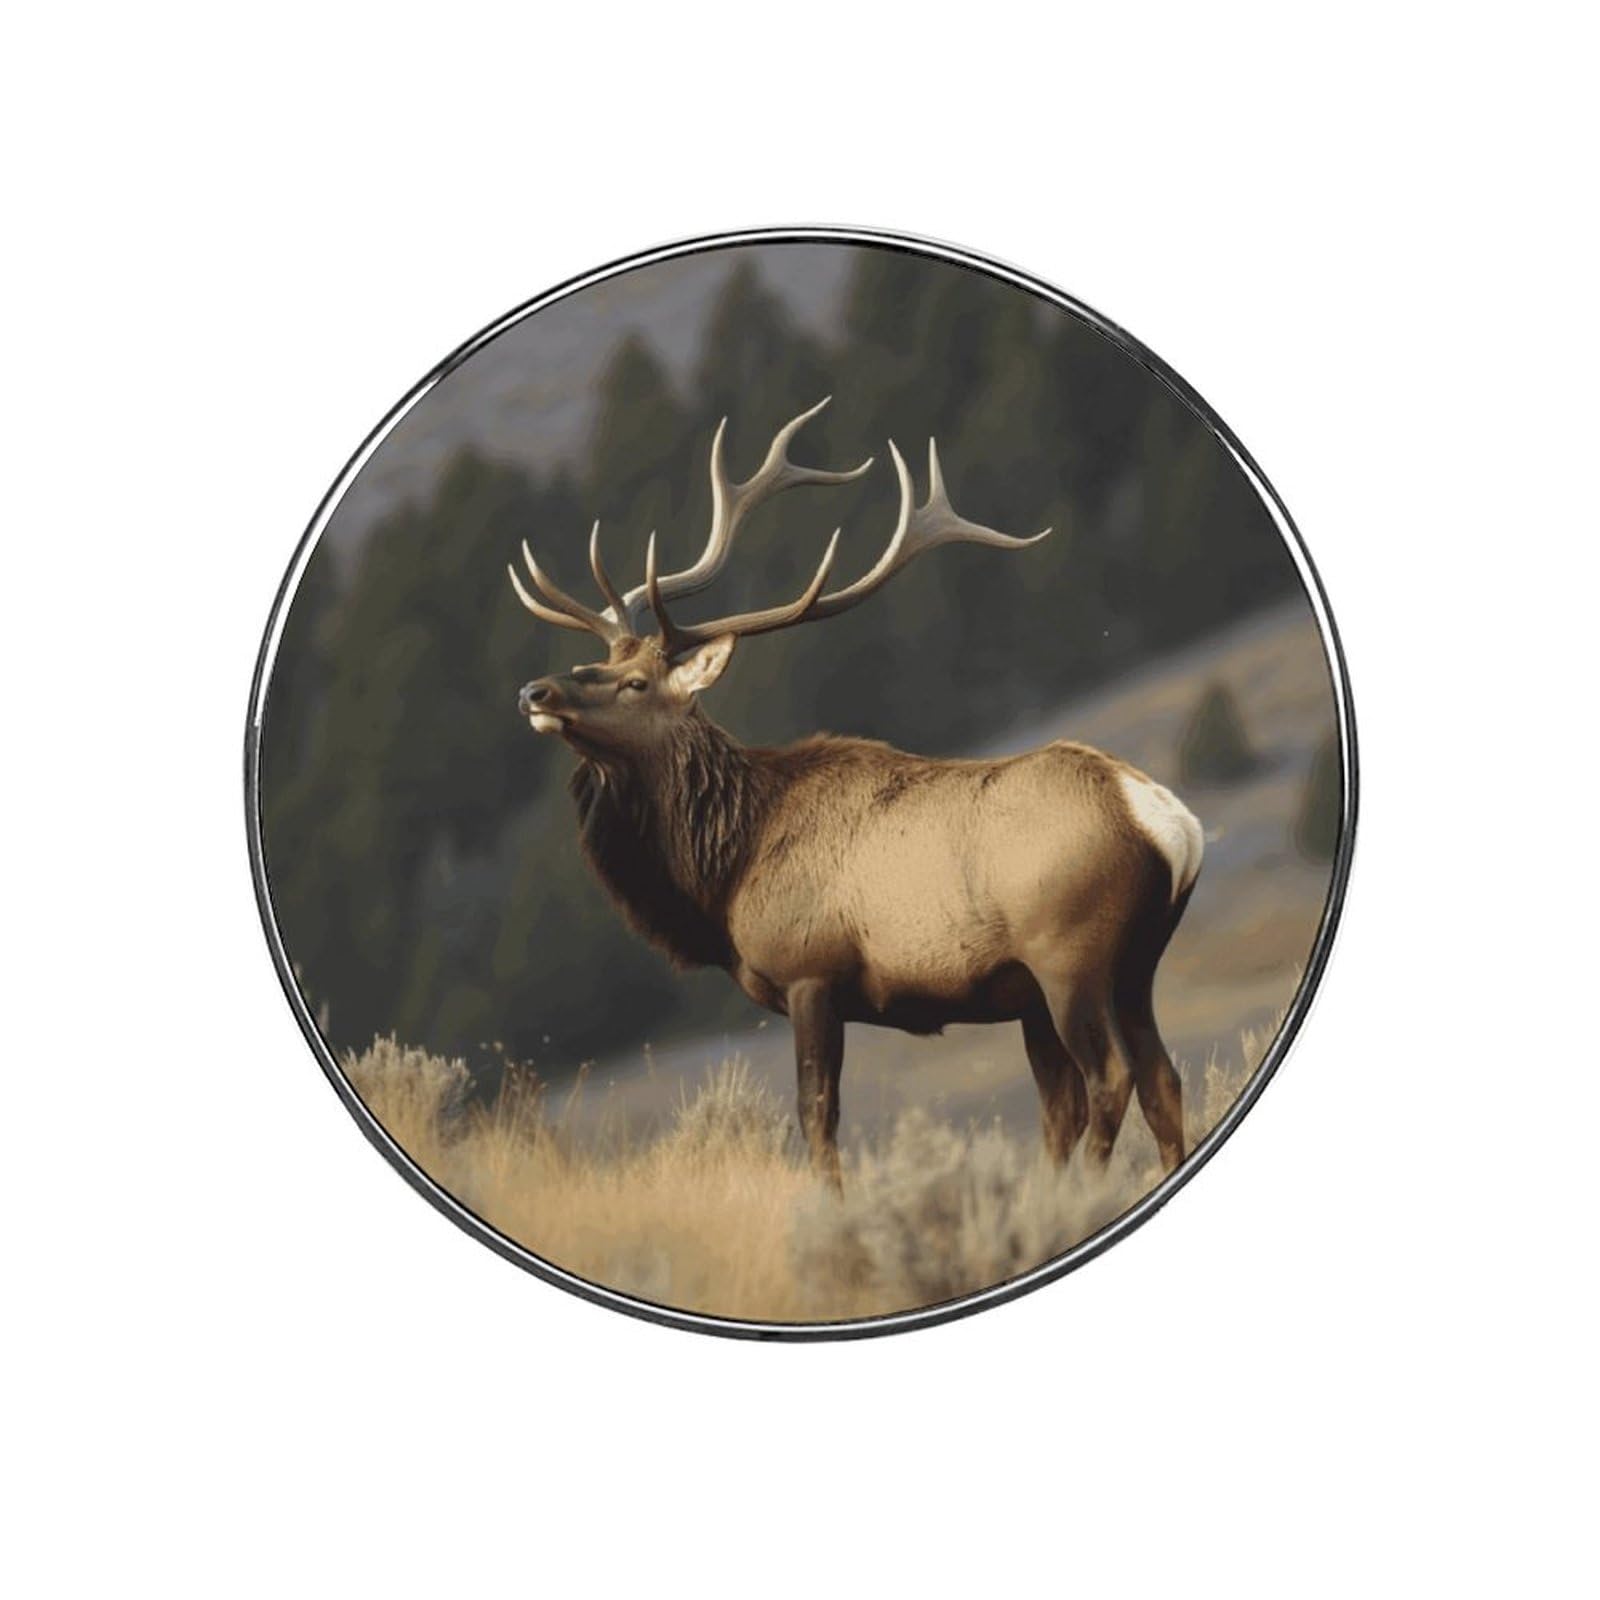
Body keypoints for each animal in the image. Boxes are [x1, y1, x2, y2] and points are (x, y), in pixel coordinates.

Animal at [508, 398, 1202, 1189]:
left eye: (635, 682)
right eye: (592, 661)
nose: (535, 691)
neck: (726, 870)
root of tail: (1167, 821)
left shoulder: (811, 972)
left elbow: (817, 1114)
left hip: (1068, 955)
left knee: (1111, 1078)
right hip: (1135, 963)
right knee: (1157, 1080)